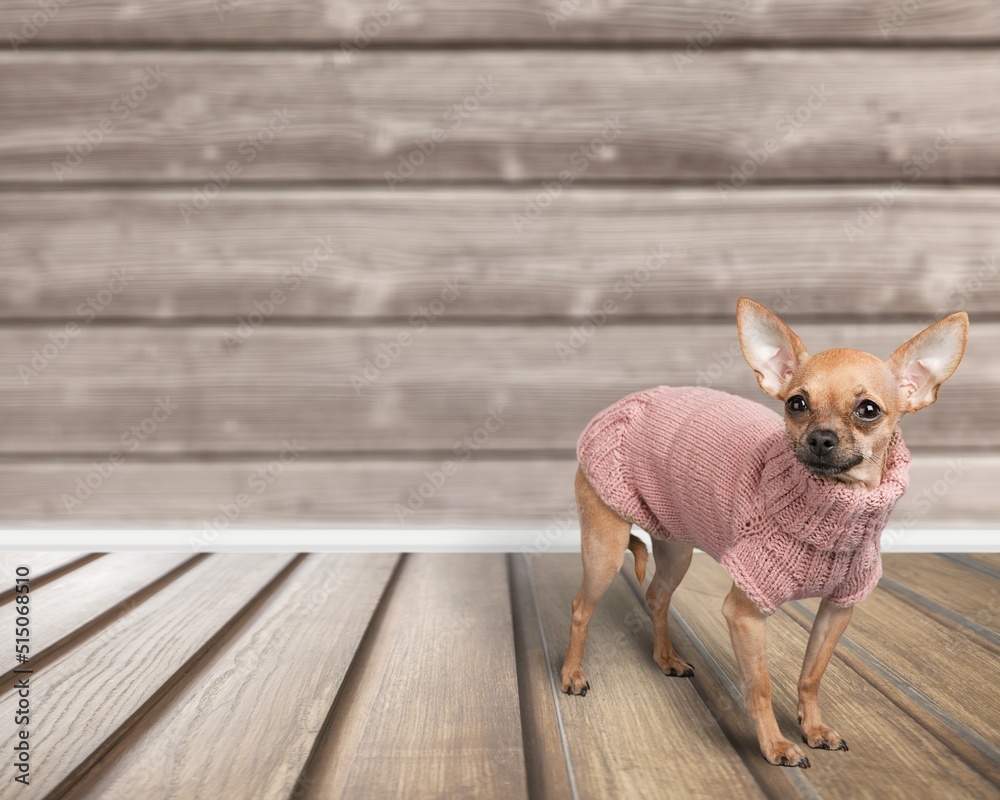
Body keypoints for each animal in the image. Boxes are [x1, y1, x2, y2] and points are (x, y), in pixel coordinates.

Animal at [568, 298, 964, 768]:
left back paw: (665, 659)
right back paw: (572, 674)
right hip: (605, 550)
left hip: (676, 547)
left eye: (868, 410)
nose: (821, 439)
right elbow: (759, 686)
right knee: (581, 607)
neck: (833, 513)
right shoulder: (745, 615)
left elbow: (811, 675)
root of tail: (623, 404)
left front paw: (814, 728)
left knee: (656, 596)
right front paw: (775, 746)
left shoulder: (837, 611)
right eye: (796, 403)